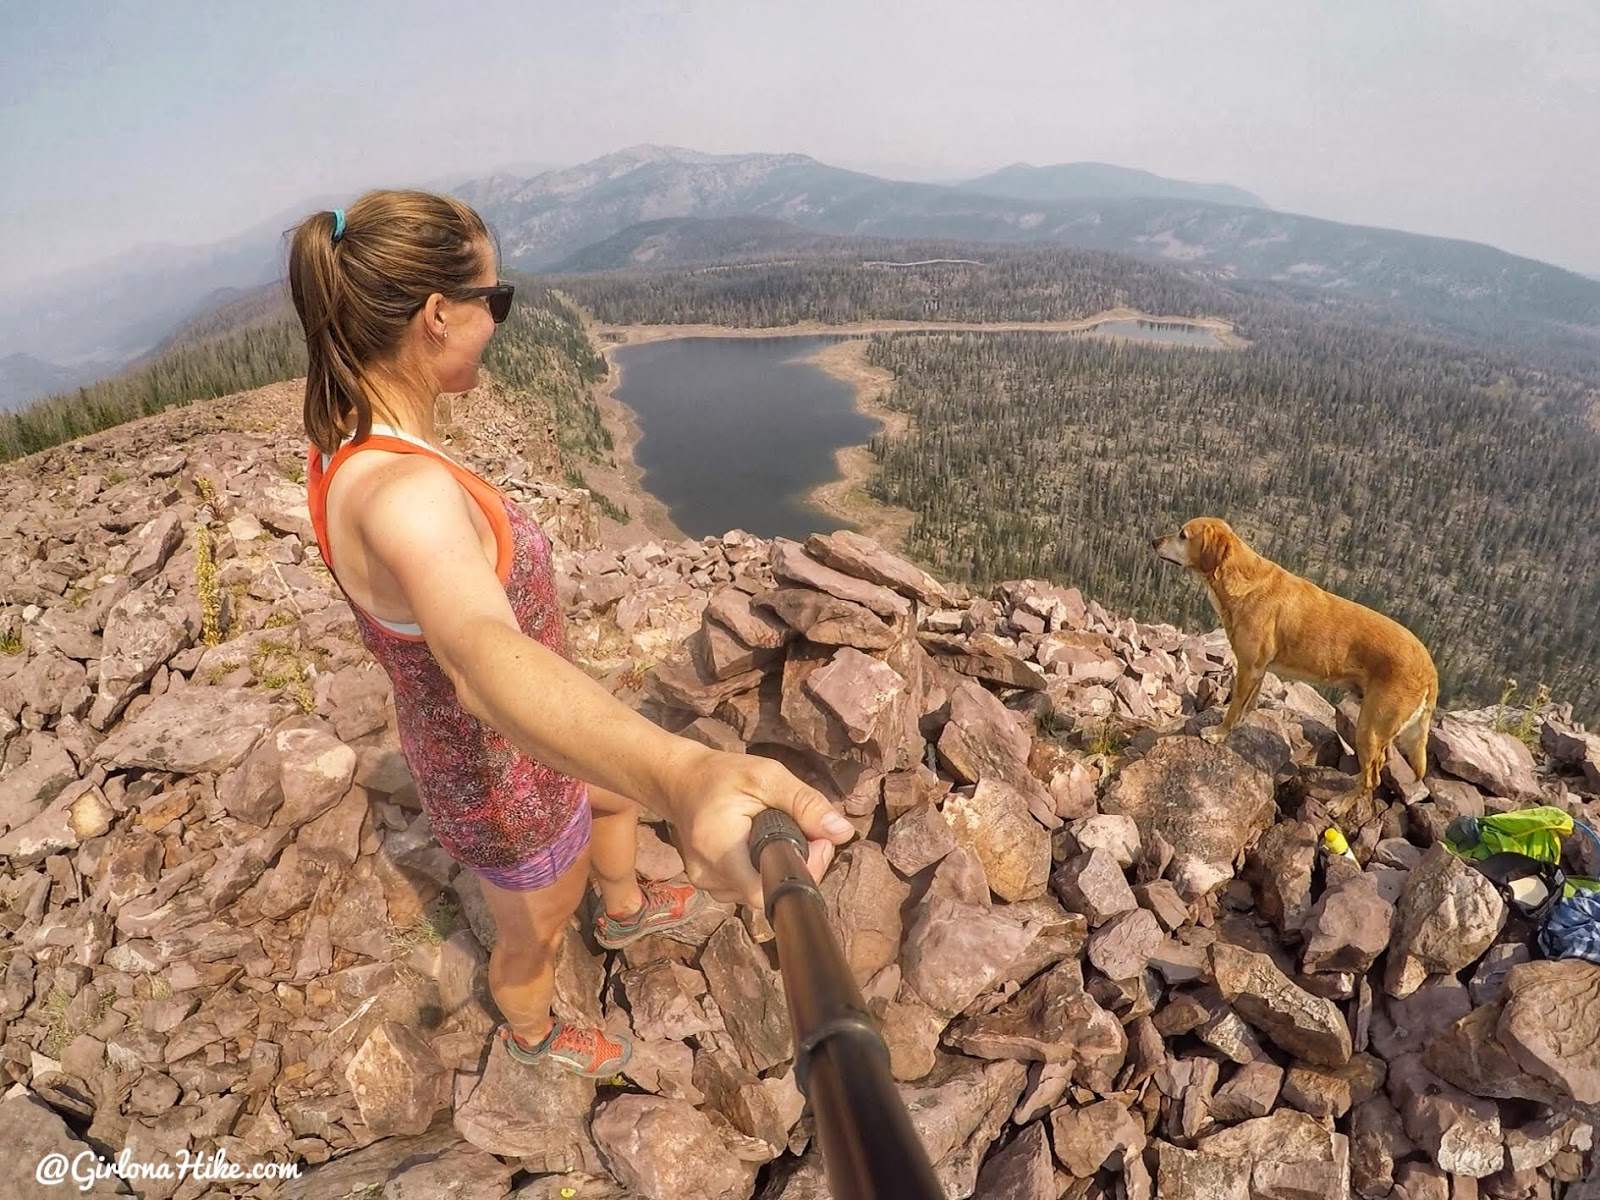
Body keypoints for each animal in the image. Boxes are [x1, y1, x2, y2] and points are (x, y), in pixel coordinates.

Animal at [1152, 518, 1440, 793]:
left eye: (1183, 534)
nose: (1153, 541)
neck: (1242, 580)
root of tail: (1430, 669)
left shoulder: (1249, 667)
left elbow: (1234, 708)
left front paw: (1218, 734)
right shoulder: (1258, 669)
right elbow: (1247, 705)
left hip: (1371, 726)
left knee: (1373, 779)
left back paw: (1339, 803)